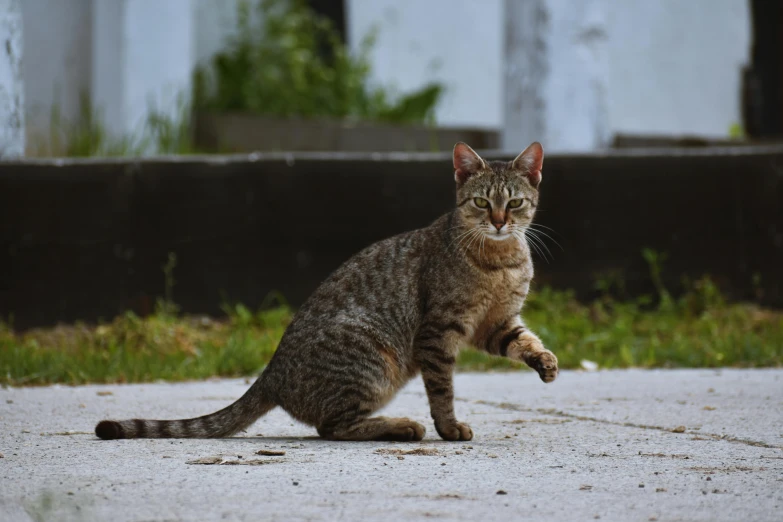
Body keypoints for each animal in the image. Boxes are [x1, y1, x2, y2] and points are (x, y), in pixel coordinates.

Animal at [96, 141, 556, 438]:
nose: (499, 221)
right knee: (332, 427)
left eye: (514, 203)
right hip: (373, 360)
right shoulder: (439, 330)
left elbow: (523, 340)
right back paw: (402, 427)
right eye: (481, 203)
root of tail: (271, 372)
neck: (501, 261)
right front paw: (448, 427)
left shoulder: (495, 323)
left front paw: (545, 361)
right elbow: (442, 389)